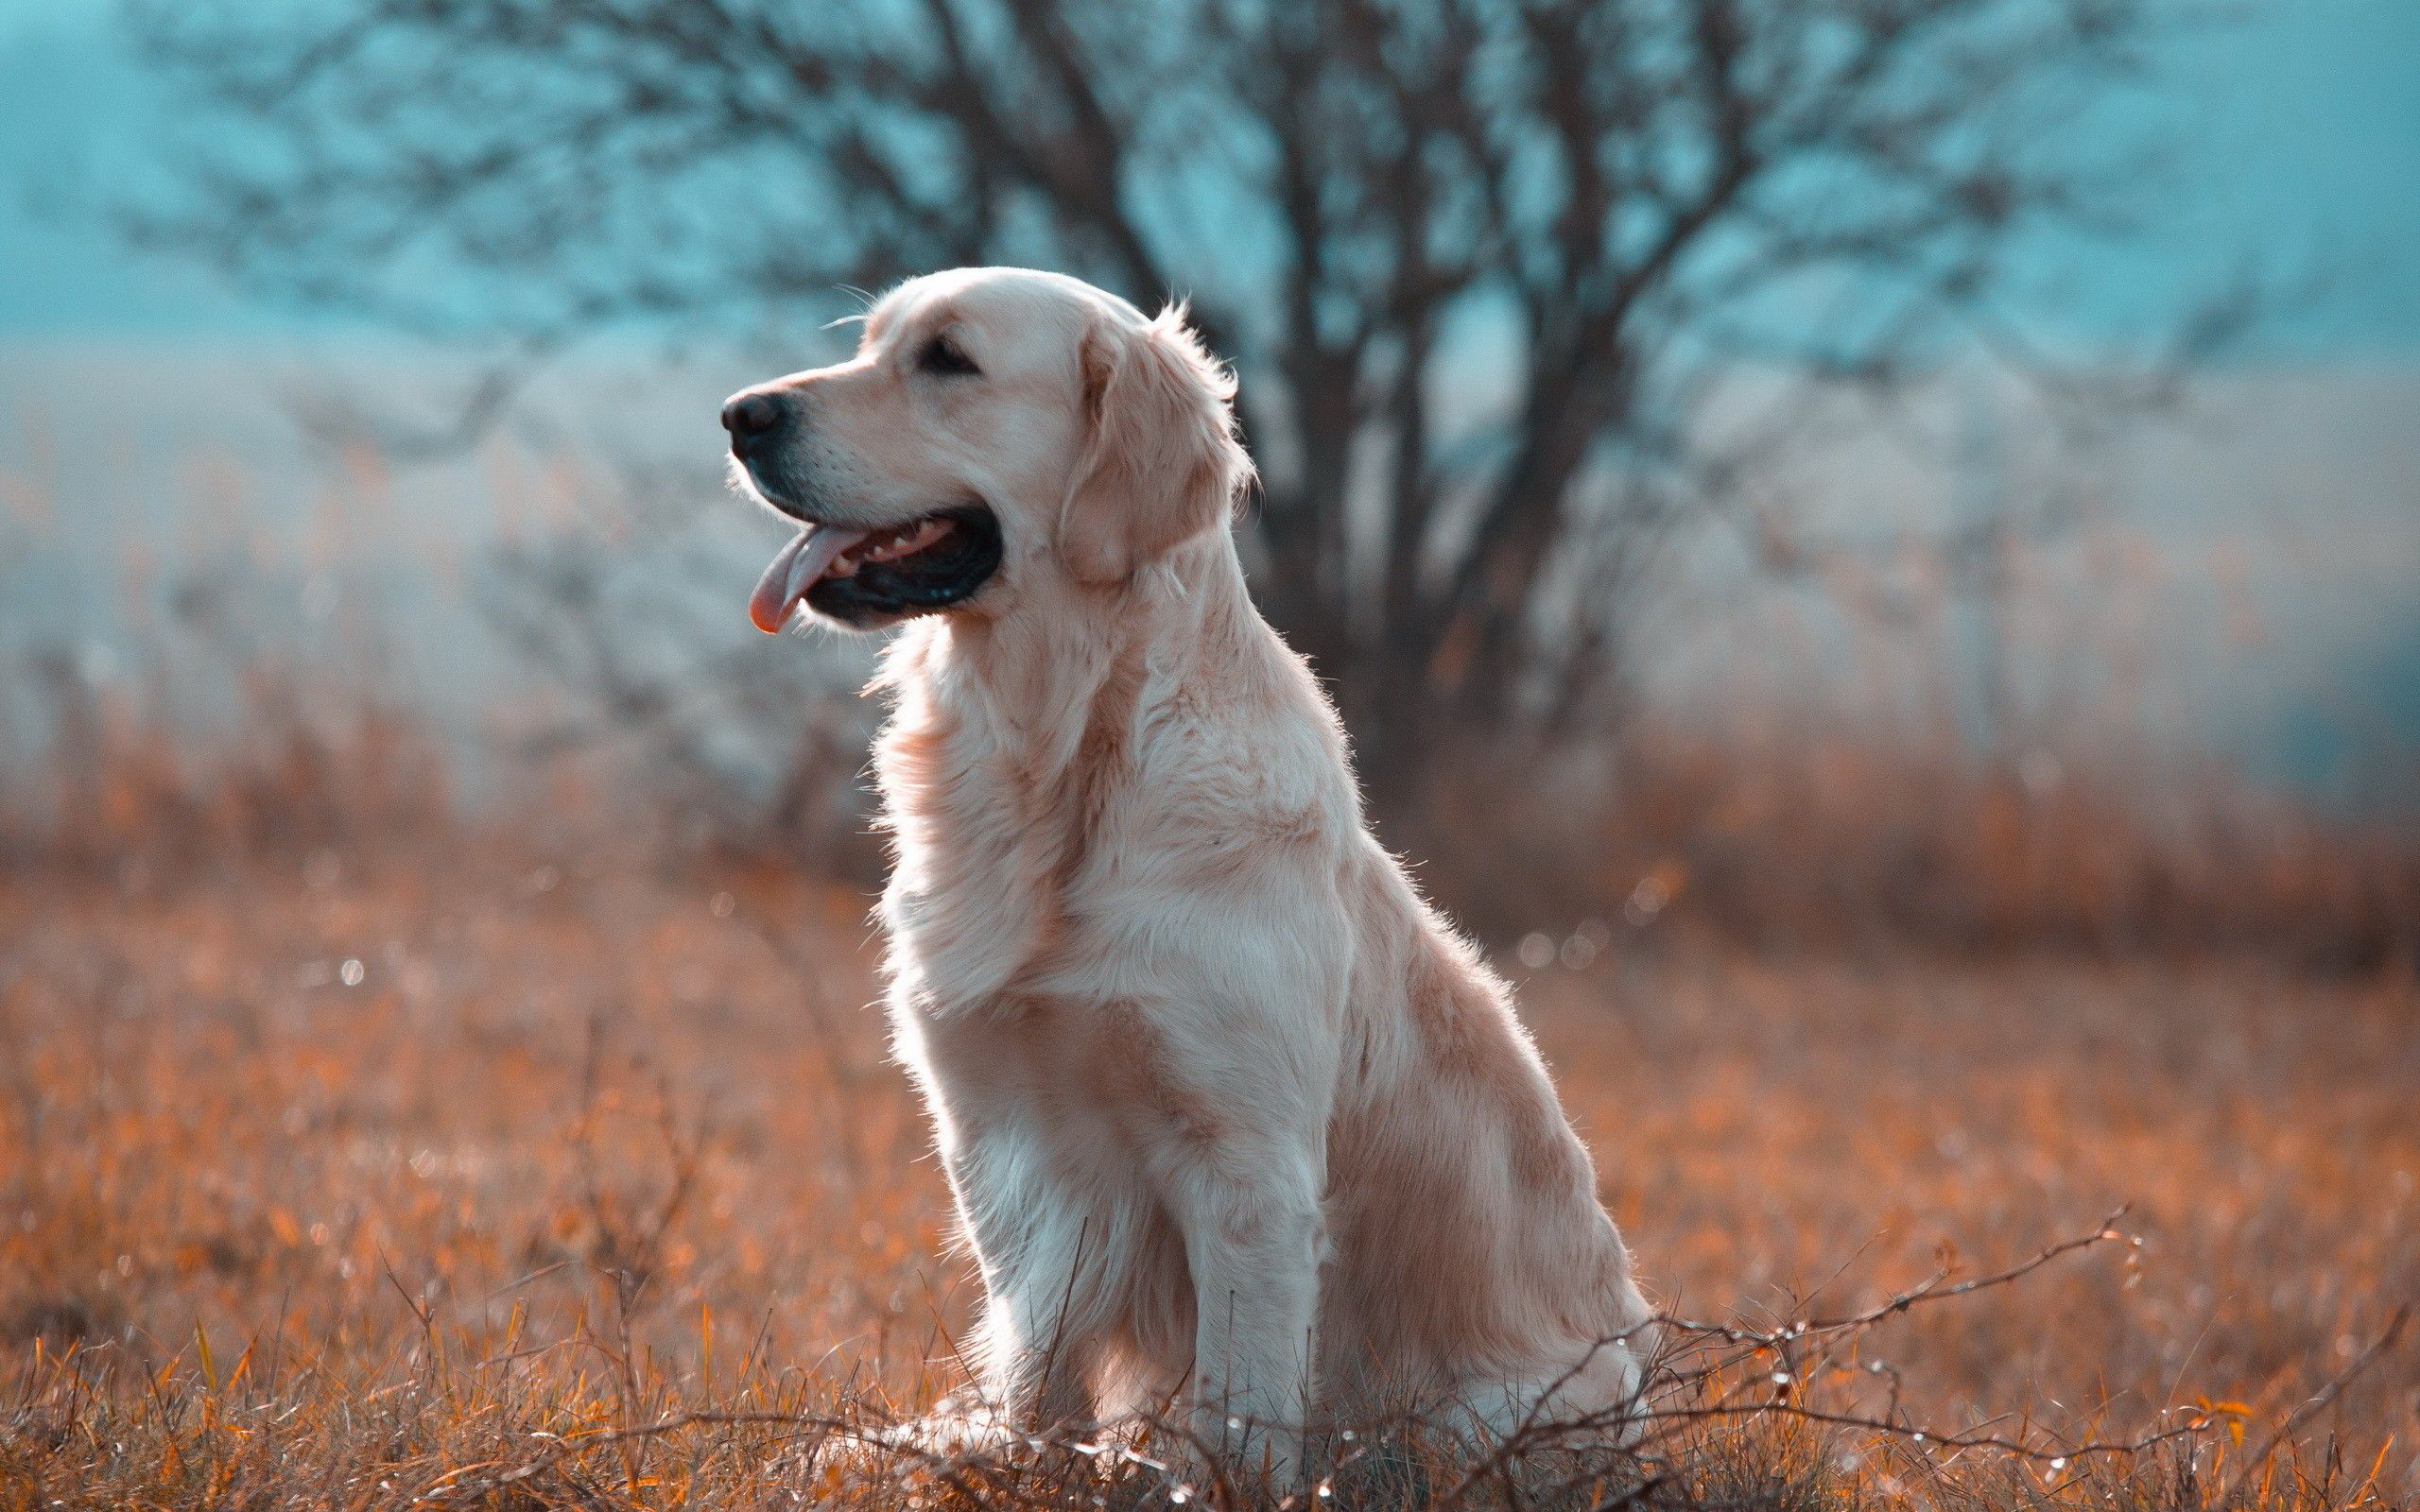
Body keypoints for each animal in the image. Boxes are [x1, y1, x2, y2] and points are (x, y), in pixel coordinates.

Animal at [716, 265, 1655, 1470]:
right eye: (871, 341)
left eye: (948, 360)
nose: (740, 416)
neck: (1064, 763)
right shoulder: (995, 1139)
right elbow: (1039, 1374)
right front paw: (1030, 1467)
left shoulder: (1244, 1162)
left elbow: (1240, 1413)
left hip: (1490, 1415)